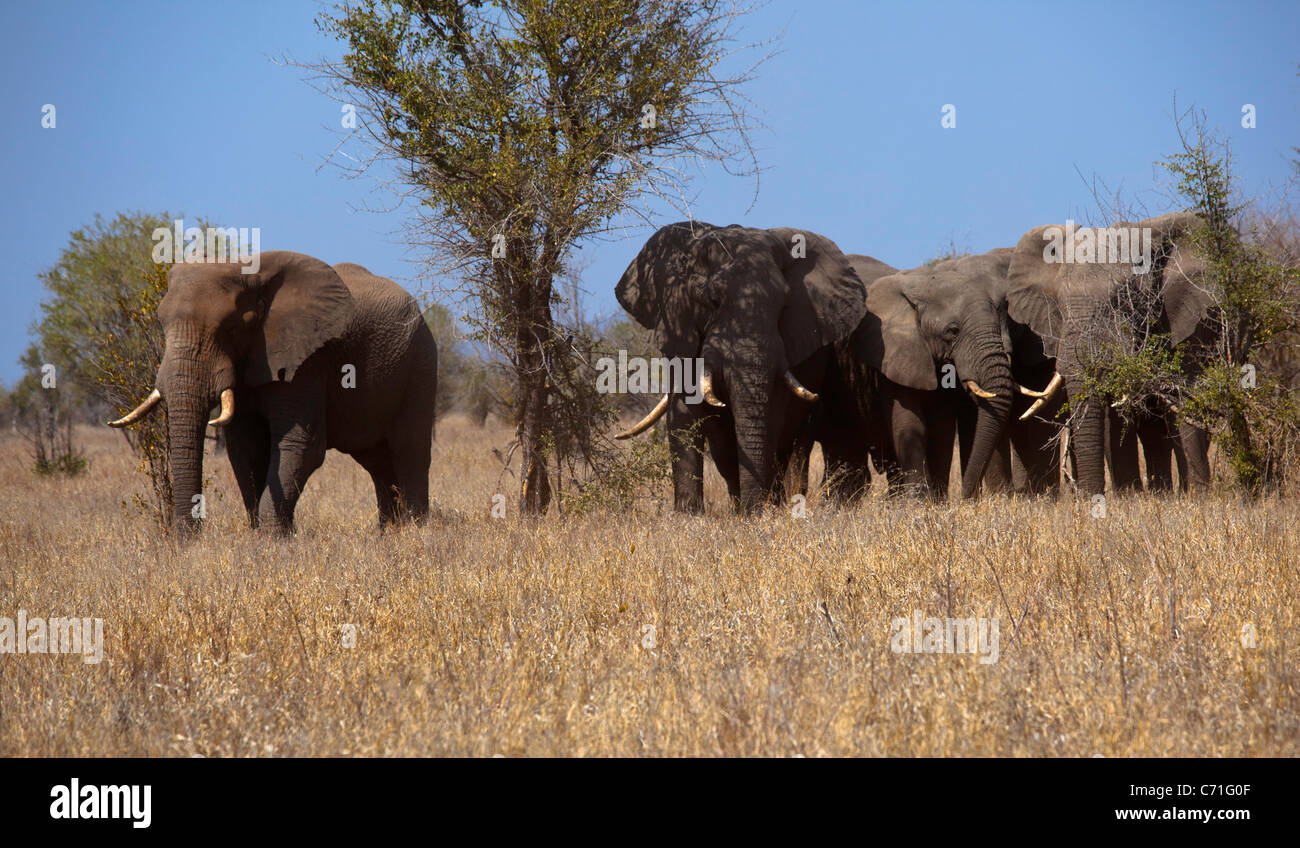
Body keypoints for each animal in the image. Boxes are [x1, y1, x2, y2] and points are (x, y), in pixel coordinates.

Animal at [111, 248, 436, 533]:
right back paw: (388, 534)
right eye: (161, 323)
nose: (187, 543)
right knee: (376, 460)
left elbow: (301, 444)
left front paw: (274, 541)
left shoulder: (308, 359)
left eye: (230, 328)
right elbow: (245, 448)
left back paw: (416, 532)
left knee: (409, 449)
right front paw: (266, 539)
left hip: (419, 360)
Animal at [613, 218, 868, 512]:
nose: (752, 509)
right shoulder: (678, 323)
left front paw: (758, 512)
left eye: (784, 304)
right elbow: (688, 411)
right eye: (712, 301)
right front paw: (690, 515)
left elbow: (772, 416)